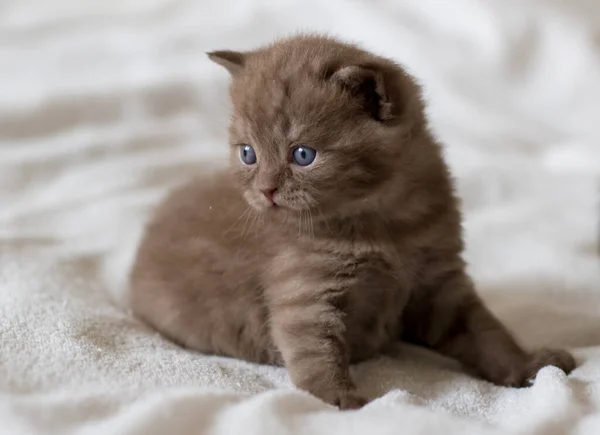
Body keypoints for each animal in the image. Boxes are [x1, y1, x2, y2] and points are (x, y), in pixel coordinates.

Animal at [127, 35, 576, 412]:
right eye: (248, 153)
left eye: (303, 154)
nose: (266, 190)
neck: (385, 224)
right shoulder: (305, 295)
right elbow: (314, 349)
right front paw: (338, 399)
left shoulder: (441, 283)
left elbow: (487, 332)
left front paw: (528, 366)